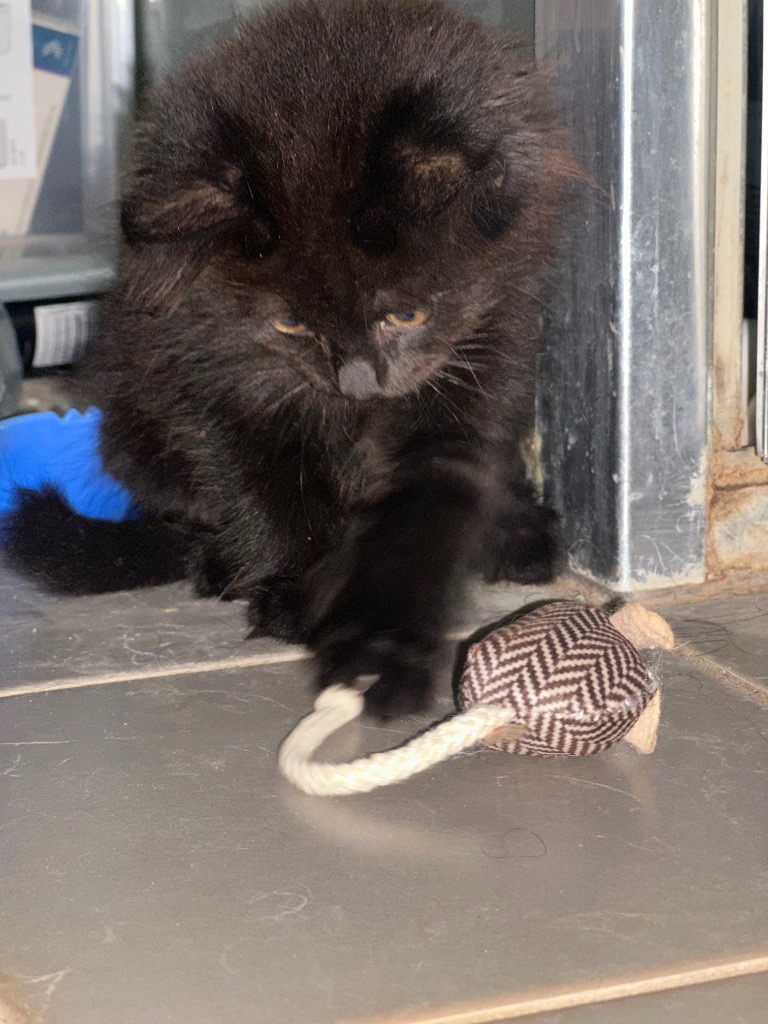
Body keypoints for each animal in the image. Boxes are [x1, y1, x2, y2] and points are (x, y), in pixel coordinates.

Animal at [5, 0, 569, 718]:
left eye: (406, 315)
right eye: (291, 322)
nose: (359, 382)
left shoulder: (487, 352)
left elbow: (428, 510)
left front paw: (382, 644)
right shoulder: (213, 376)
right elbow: (267, 491)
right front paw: (303, 597)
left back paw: (519, 534)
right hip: (133, 431)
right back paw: (218, 566)